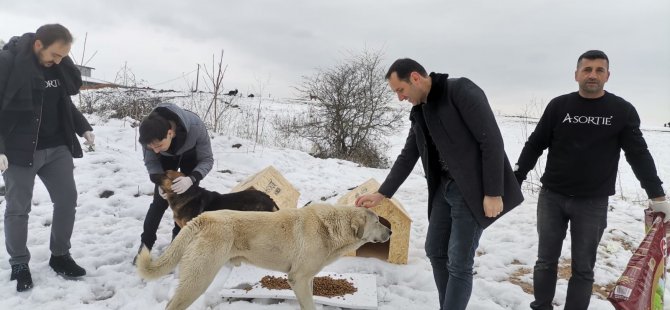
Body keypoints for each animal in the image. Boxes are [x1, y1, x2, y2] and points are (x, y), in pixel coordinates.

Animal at [136, 202, 394, 310]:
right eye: (378, 222)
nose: (391, 231)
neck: (331, 228)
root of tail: (204, 218)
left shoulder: (307, 280)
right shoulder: (298, 279)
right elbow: (309, 305)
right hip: (199, 279)